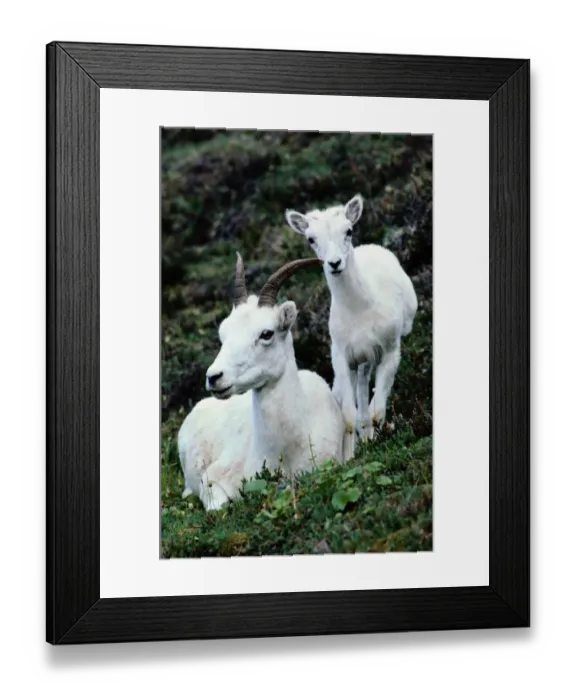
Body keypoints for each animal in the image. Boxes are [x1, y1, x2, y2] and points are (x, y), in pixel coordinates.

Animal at [285, 194, 418, 460]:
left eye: (348, 230)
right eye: (311, 238)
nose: (335, 263)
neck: (360, 311)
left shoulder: (390, 352)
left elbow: (377, 412)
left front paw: (377, 443)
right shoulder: (342, 357)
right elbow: (347, 417)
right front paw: (351, 456)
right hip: (360, 362)